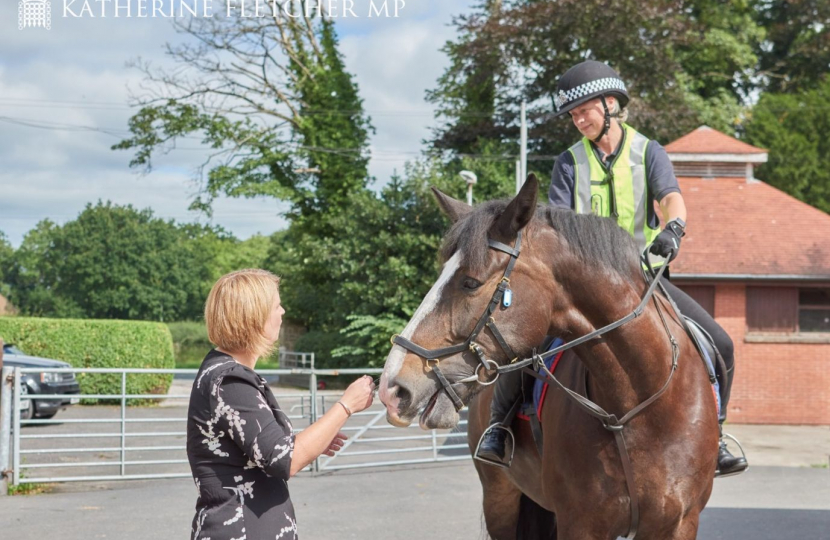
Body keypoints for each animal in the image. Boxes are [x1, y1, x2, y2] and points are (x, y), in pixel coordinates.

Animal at [380, 177, 720, 540]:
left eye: (470, 282)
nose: (391, 387)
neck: (637, 407)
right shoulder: (578, 524)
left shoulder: (679, 523)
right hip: (501, 499)